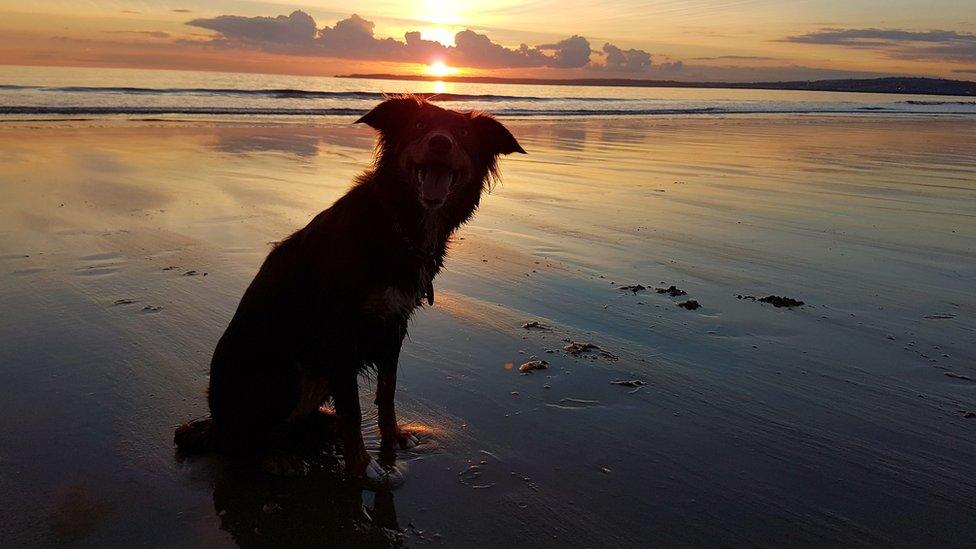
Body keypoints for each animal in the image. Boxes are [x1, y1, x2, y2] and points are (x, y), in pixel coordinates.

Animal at [175, 95, 528, 484]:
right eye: (419, 125)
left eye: (464, 133)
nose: (440, 142)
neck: (399, 223)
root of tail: (215, 419)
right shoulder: (339, 334)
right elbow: (354, 410)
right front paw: (362, 467)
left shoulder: (394, 324)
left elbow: (387, 391)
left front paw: (392, 438)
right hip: (284, 372)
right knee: (237, 441)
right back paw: (276, 457)